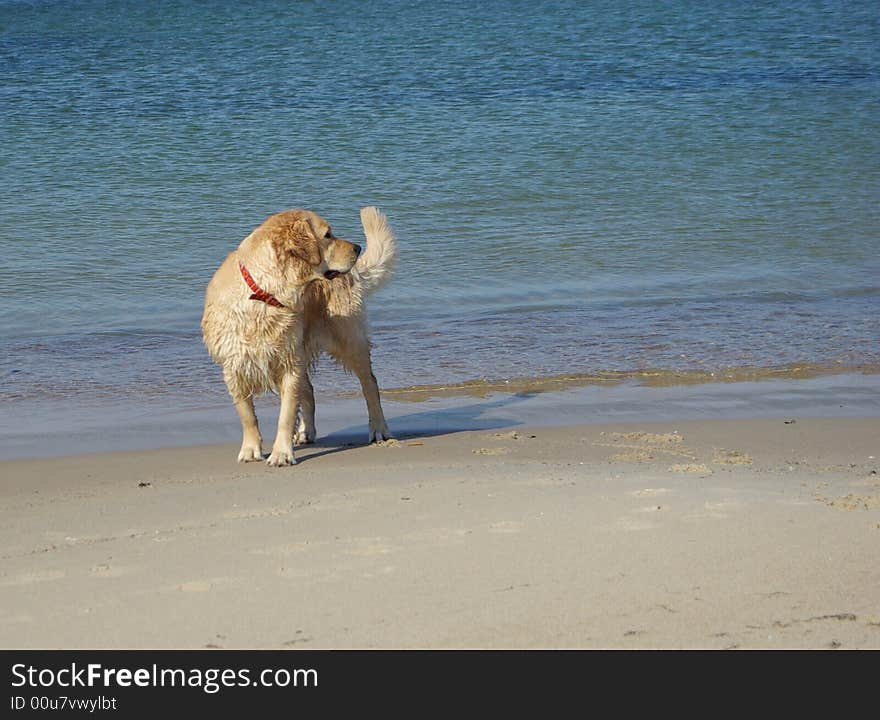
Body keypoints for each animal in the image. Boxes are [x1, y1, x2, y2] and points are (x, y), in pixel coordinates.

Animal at [203, 208, 396, 466]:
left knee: (370, 384)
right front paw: (251, 450)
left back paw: (378, 429)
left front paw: (281, 454)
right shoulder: (234, 366)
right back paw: (306, 432)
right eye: (328, 235)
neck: (264, 294)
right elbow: (247, 414)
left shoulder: (288, 364)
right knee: (310, 391)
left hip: (348, 340)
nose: (357, 248)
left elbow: (285, 415)